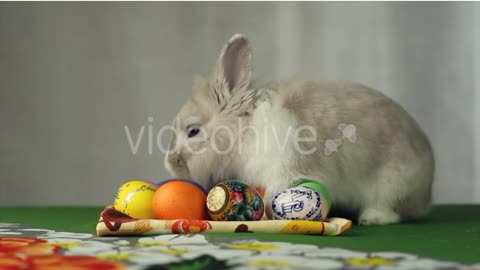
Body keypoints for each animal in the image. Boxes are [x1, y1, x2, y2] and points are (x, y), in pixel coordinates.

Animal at [163, 33, 434, 225]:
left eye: (193, 131)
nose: (170, 162)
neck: (246, 131)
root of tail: (427, 191)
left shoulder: (286, 171)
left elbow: (274, 195)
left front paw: (265, 217)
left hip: (391, 185)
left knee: (389, 210)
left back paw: (372, 218)